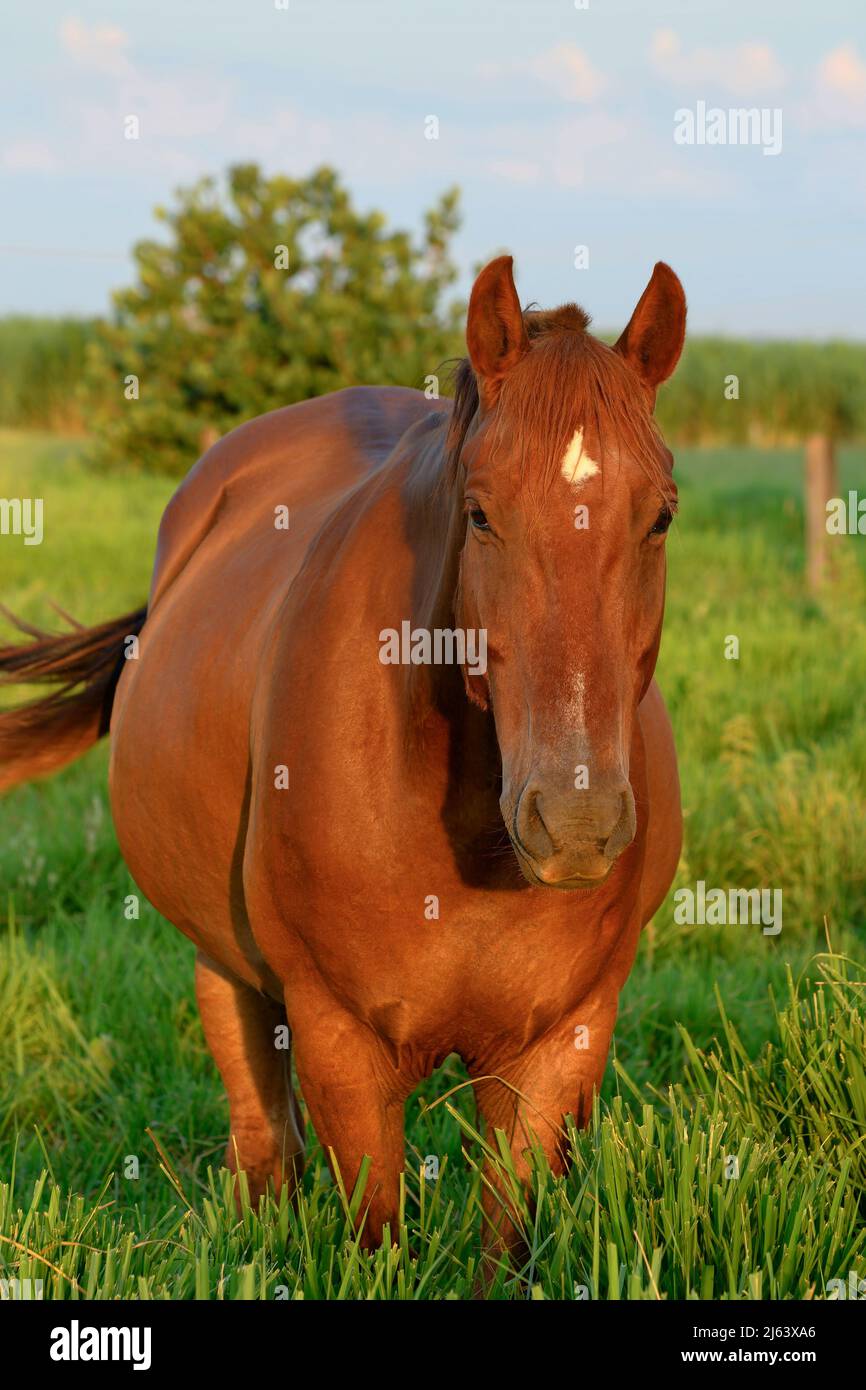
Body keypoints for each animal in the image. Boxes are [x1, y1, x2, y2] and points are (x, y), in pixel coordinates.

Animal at [0, 255, 686, 1255]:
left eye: (661, 517)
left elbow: (508, 1243)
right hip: (228, 971)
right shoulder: (341, 1046)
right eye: (481, 515)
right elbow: (376, 1236)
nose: (578, 822)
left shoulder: (559, 1050)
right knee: (262, 1141)